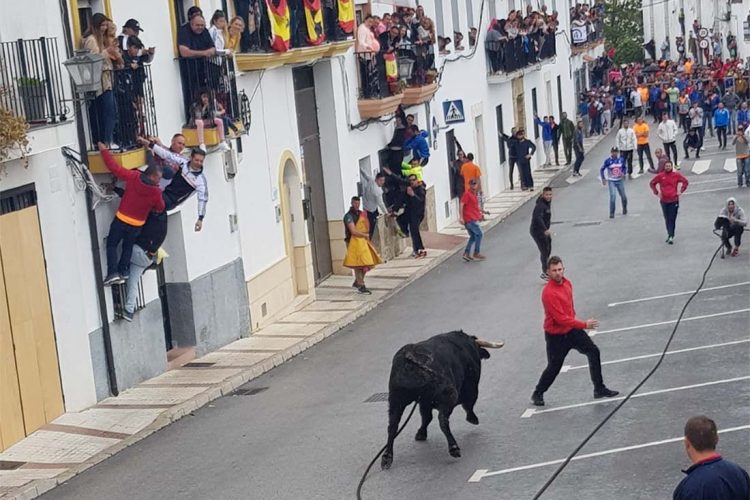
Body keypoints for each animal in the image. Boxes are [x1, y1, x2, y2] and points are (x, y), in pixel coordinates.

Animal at [382, 332, 506, 468]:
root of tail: (412, 358)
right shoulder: (470, 387)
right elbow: (468, 404)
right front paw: (472, 418)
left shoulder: (424, 402)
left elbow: (426, 417)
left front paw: (421, 433)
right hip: (448, 396)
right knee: (443, 421)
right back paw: (454, 447)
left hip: (395, 400)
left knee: (392, 426)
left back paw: (387, 457)